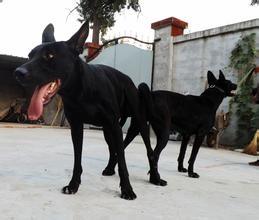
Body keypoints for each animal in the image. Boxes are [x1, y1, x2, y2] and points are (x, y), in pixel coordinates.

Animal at [13, 21, 165, 199]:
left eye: (50, 56)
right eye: (30, 55)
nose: (18, 73)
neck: (81, 90)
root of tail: (128, 79)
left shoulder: (114, 126)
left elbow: (123, 161)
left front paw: (127, 189)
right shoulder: (77, 127)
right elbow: (77, 159)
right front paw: (73, 184)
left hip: (138, 122)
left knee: (149, 151)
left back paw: (155, 178)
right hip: (107, 130)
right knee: (113, 149)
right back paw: (109, 168)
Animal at [103, 71, 238, 179]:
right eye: (230, 82)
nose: (236, 84)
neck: (209, 100)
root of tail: (150, 95)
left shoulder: (186, 135)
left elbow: (182, 154)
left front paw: (181, 169)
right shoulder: (200, 134)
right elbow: (193, 156)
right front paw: (191, 173)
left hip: (134, 129)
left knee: (120, 149)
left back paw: (109, 170)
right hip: (164, 133)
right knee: (154, 154)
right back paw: (154, 177)